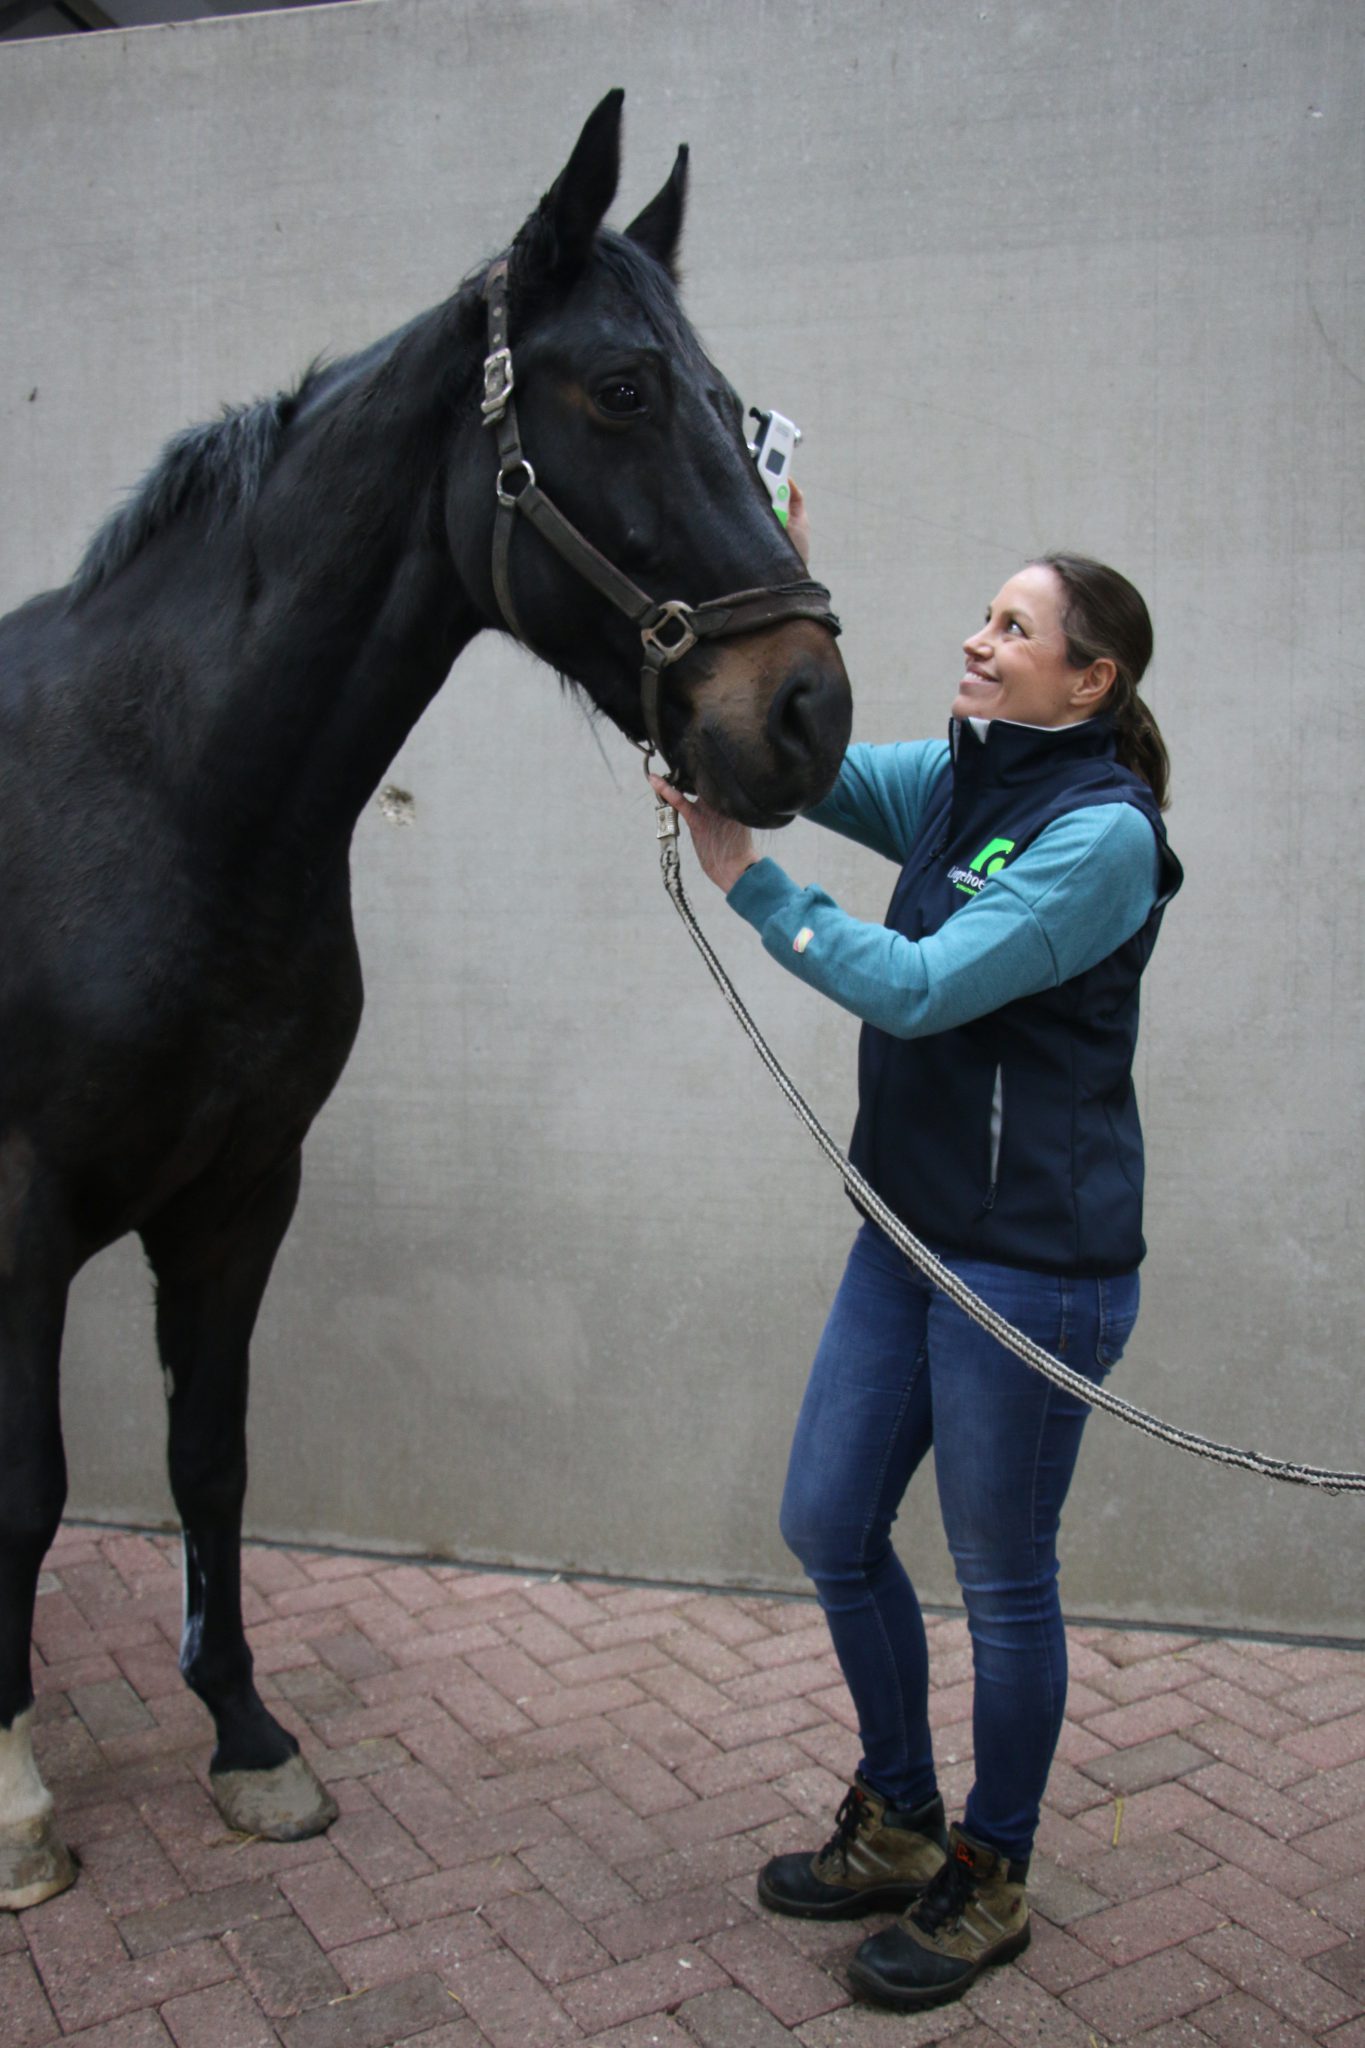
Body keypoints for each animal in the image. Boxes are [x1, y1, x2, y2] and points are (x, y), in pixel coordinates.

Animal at [0, 89, 852, 1909]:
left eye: (738, 407)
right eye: (625, 390)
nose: (807, 711)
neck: (154, 796)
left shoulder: (242, 1194)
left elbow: (211, 1460)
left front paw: (250, 1744)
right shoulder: (17, 1206)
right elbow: (28, 1485)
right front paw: (18, 1797)